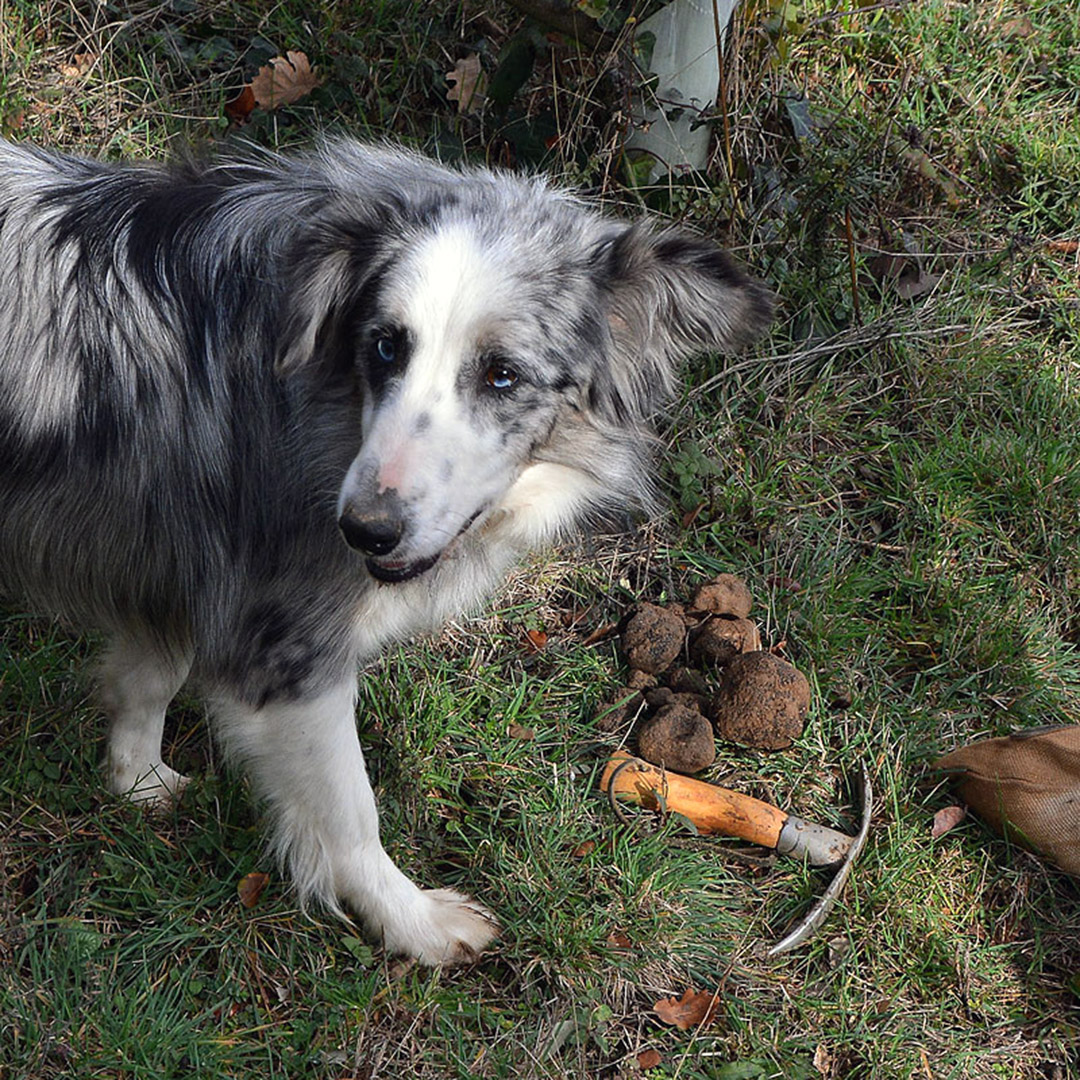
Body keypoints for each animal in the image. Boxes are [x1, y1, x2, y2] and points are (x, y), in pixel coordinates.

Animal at [2, 137, 777, 963]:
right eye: (384, 347)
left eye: (502, 375)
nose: (364, 530)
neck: (305, 399)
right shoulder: (288, 646)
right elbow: (349, 816)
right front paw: (414, 924)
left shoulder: (190, 576)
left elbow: (148, 680)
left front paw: (137, 780)